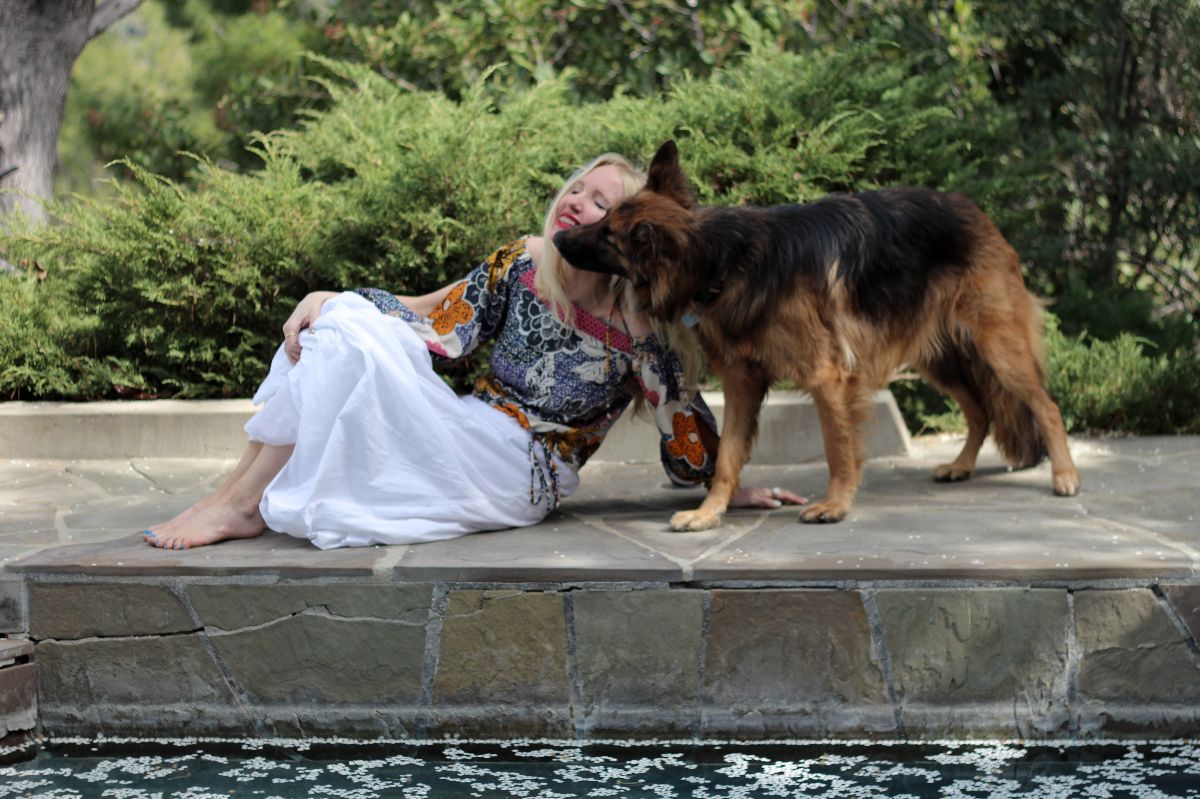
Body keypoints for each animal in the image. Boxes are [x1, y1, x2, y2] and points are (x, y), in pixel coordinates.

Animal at [554, 140, 1081, 530]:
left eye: (605, 232)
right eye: (604, 219)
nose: (558, 237)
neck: (724, 259)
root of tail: (972, 209)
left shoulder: (827, 378)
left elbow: (837, 449)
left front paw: (836, 504)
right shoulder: (743, 383)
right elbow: (727, 458)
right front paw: (709, 513)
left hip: (997, 347)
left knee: (1046, 405)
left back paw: (1066, 475)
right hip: (940, 358)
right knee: (980, 409)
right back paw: (962, 466)